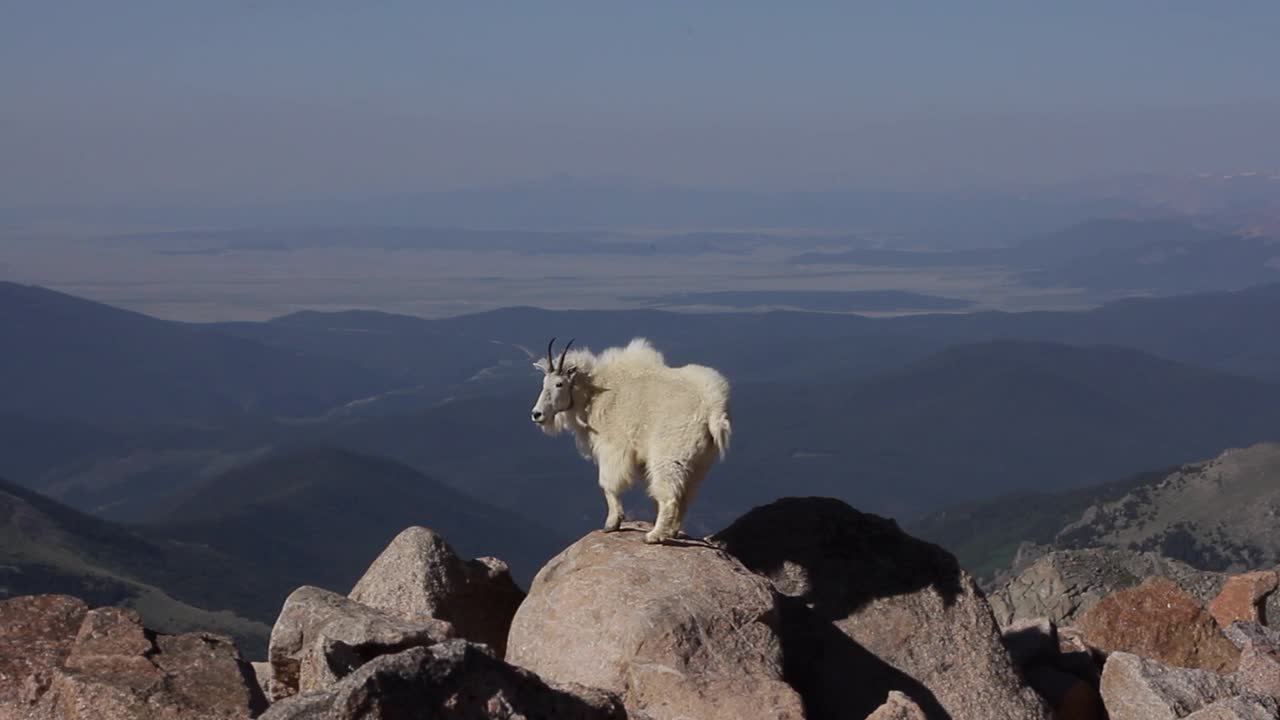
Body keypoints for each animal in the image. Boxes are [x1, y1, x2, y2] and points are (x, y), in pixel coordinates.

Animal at [527, 335, 732, 543]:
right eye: (544, 382)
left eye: (559, 384)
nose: (537, 414)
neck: (593, 394)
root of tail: (713, 407)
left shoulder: (612, 447)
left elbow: (607, 483)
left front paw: (612, 524)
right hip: (700, 460)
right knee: (685, 494)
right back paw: (672, 531)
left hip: (669, 453)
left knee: (669, 495)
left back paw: (654, 535)